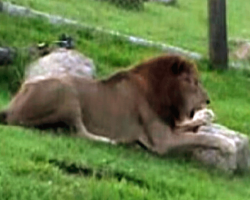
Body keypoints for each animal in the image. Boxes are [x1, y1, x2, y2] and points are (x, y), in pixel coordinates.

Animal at [0, 54, 232, 155]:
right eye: (194, 82)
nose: (207, 99)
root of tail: (11, 107)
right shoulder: (161, 141)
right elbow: (202, 137)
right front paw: (226, 144)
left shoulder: (168, 126)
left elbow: (190, 125)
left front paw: (206, 115)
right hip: (67, 91)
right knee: (78, 131)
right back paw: (109, 141)